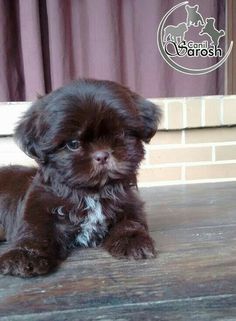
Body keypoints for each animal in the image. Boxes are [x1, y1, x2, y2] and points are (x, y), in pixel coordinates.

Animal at [0, 79, 161, 276]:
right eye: (73, 144)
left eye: (120, 134)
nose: (102, 155)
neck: (92, 192)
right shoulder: (38, 203)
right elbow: (35, 229)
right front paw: (26, 255)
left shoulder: (129, 202)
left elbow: (130, 221)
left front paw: (133, 241)